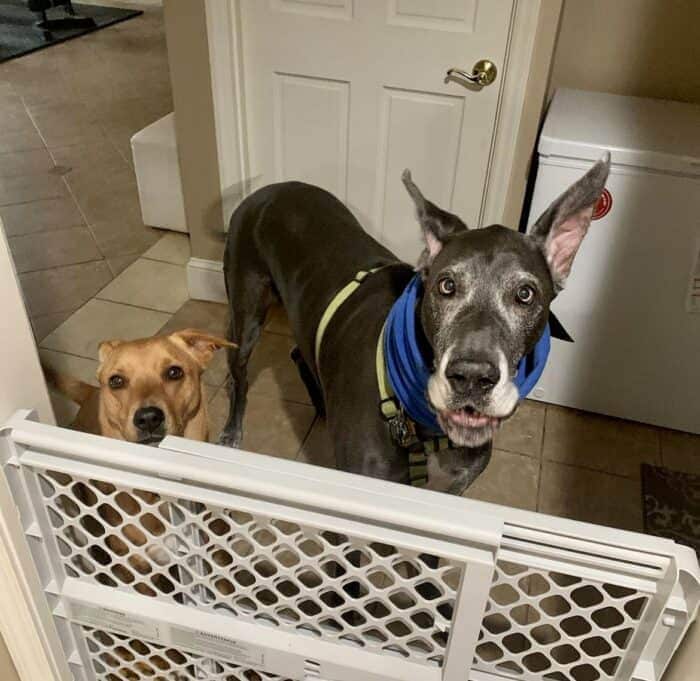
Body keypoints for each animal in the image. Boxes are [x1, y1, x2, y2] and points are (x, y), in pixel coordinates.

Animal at [221, 156, 608, 492]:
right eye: (446, 285)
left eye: (525, 294)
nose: (472, 377)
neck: (424, 431)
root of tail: (265, 191)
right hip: (246, 313)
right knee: (239, 375)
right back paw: (231, 430)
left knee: (299, 353)